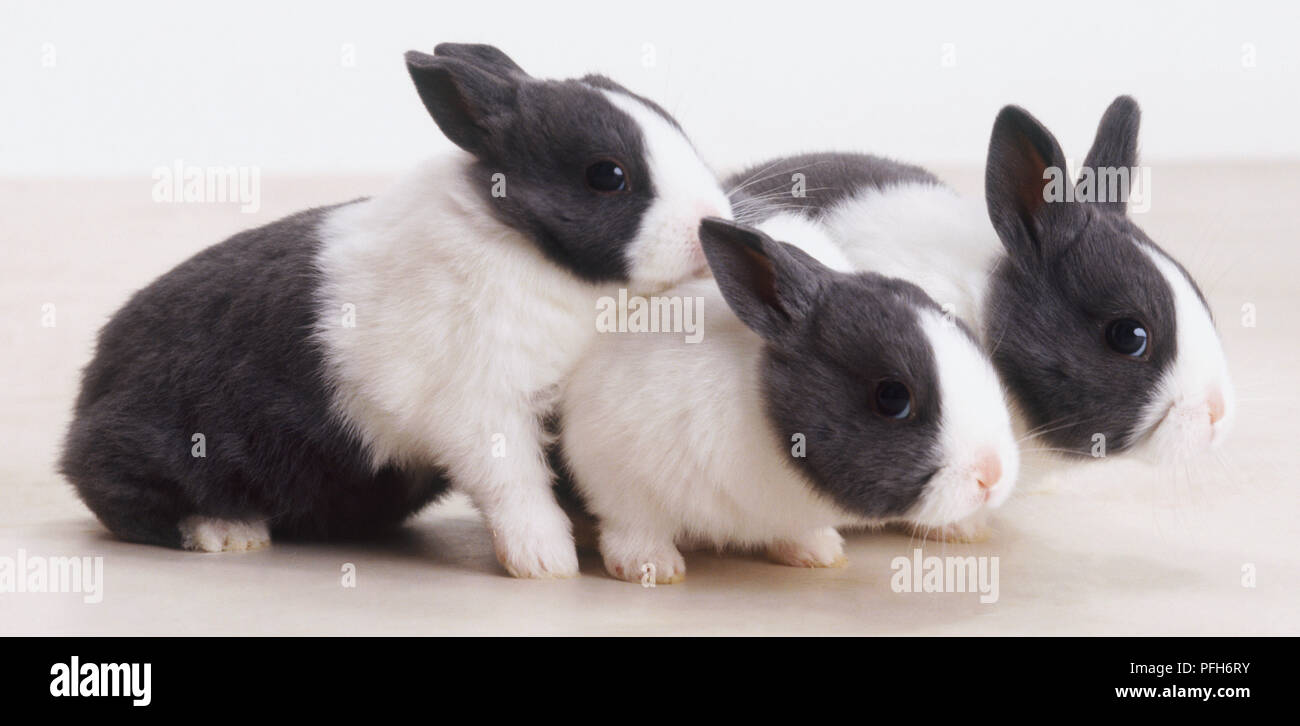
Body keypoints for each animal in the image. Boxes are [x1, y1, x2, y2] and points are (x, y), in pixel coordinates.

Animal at [59, 43, 732, 579]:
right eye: (607, 175)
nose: (710, 224)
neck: (525, 244)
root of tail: (88, 396)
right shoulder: (485, 407)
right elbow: (515, 484)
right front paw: (546, 562)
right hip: (164, 442)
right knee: (112, 493)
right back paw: (224, 530)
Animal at [556, 216, 1020, 583]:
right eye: (892, 398)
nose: (991, 475)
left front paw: (818, 553)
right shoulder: (618, 474)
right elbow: (634, 526)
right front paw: (651, 568)